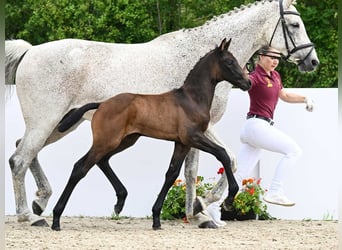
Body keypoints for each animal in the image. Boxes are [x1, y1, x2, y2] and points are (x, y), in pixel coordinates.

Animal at [52, 38, 251, 231]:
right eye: (229, 62)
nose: (247, 83)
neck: (191, 100)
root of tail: (101, 104)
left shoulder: (182, 143)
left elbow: (171, 174)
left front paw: (156, 219)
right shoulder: (193, 137)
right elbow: (222, 154)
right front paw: (230, 199)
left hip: (125, 140)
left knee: (102, 161)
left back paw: (120, 201)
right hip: (106, 142)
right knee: (80, 168)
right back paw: (56, 219)